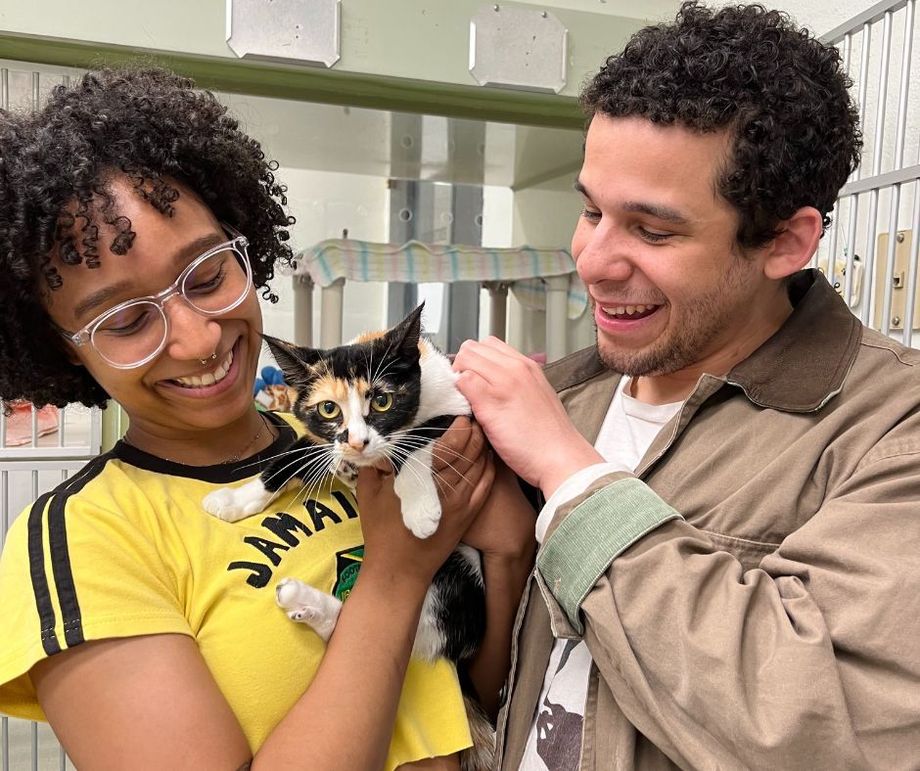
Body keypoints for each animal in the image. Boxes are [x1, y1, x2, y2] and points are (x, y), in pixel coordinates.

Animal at [199, 306, 488, 764]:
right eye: (329, 409)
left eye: (382, 401)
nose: (356, 443)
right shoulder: (320, 439)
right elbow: (289, 455)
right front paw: (236, 499)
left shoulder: (464, 412)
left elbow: (421, 437)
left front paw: (418, 506)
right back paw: (304, 601)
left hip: (463, 580)